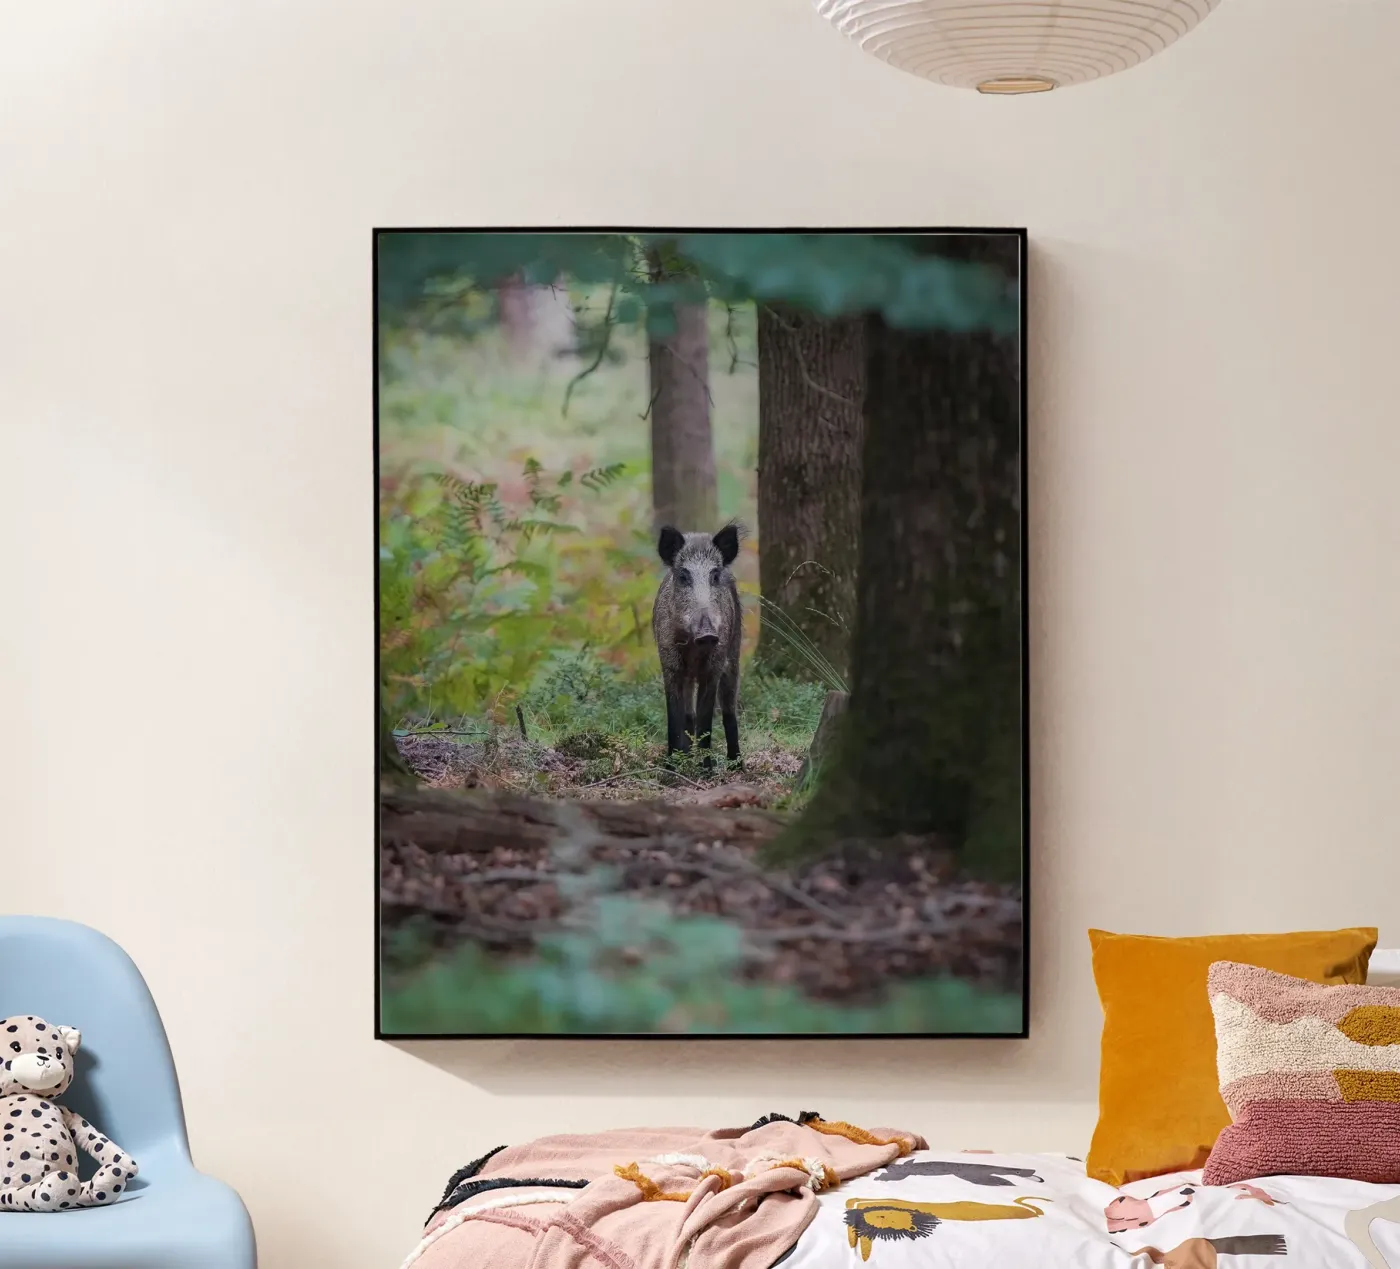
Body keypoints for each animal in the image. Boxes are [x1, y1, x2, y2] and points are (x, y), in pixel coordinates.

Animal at [651, 523, 742, 765]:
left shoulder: (715, 666)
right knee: (688, 715)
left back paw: (736, 765)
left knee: (729, 710)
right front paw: (671, 767)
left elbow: (706, 719)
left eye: (715, 575)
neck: (693, 648)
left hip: (734, 653)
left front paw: (707, 768)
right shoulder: (669, 663)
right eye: (683, 576)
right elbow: (675, 716)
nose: (707, 634)